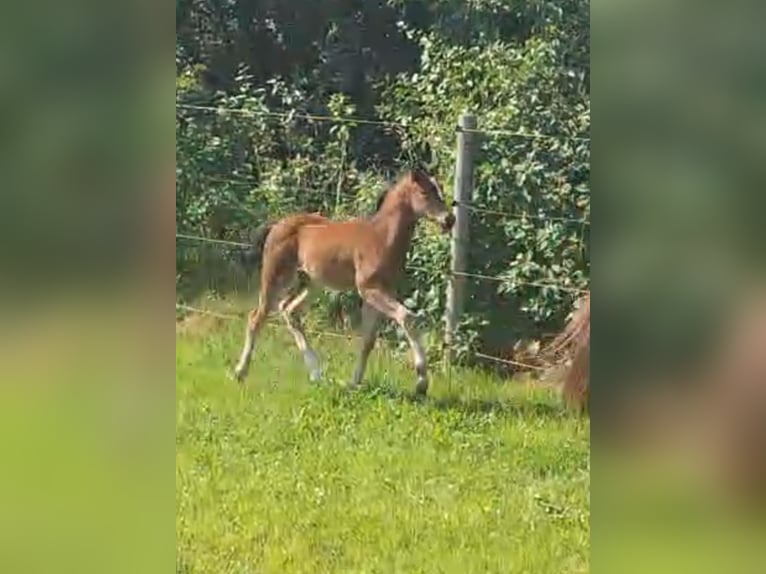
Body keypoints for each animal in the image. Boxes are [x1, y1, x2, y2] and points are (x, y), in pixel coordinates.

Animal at [231, 169, 452, 398]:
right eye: (425, 192)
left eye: (439, 190)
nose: (449, 219)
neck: (381, 237)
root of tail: (276, 225)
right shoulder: (369, 289)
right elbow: (406, 318)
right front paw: (421, 383)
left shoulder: (382, 292)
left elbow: (368, 341)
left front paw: (354, 382)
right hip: (276, 276)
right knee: (256, 317)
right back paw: (240, 372)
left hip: (312, 282)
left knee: (289, 310)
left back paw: (316, 373)